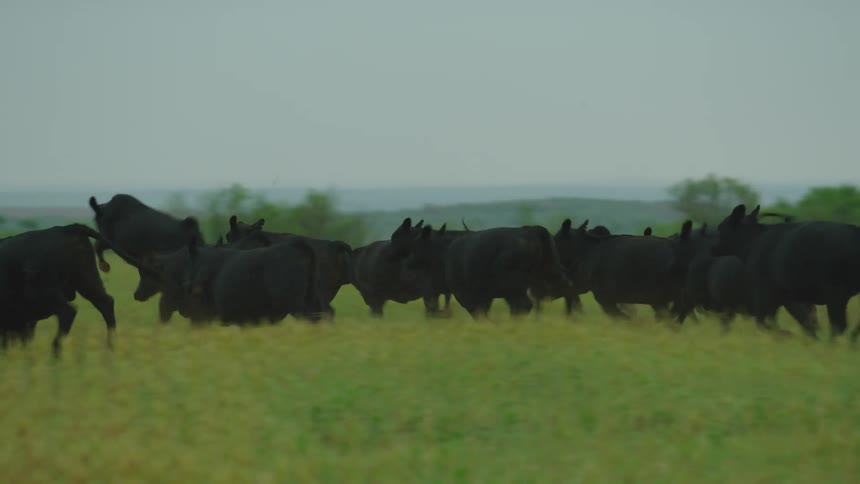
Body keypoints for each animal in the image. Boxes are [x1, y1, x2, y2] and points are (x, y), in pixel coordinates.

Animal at [0, 224, 127, 353]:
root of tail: (66, 229)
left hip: (49, 293)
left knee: (67, 312)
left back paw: (55, 351)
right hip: (87, 281)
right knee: (106, 303)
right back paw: (110, 347)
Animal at [713, 204, 860, 340]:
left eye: (720, 228)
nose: (713, 247)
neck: (753, 242)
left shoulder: (765, 295)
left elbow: (764, 322)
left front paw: (789, 335)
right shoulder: (790, 298)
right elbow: (806, 322)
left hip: (836, 295)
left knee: (838, 326)